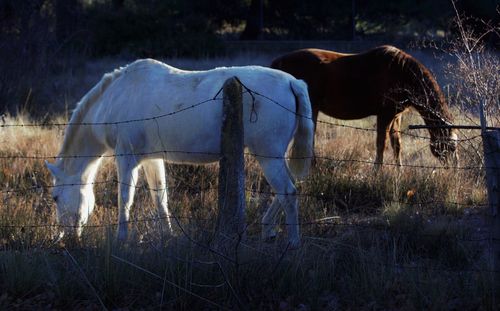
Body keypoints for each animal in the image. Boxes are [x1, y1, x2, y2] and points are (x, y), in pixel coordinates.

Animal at [46, 59, 312, 249]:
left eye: (56, 198)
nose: (65, 238)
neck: (115, 98)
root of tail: (293, 83)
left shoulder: (126, 158)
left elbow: (125, 198)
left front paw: (122, 238)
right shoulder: (152, 159)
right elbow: (160, 197)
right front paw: (168, 235)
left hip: (268, 156)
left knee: (288, 192)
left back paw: (293, 242)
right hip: (275, 156)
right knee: (289, 187)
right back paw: (269, 229)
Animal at [272, 45, 458, 166]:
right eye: (450, 146)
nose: (453, 168)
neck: (402, 74)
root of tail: (276, 64)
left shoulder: (396, 116)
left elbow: (397, 144)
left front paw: (399, 173)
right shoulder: (385, 114)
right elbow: (381, 144)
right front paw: (377, 173)